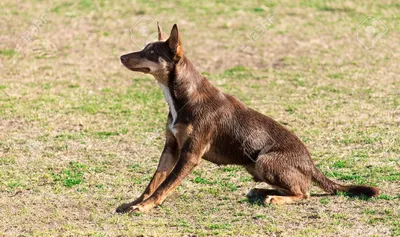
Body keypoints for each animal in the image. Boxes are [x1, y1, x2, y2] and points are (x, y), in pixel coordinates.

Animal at [116, 23, 382, 214]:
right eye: (144, 48)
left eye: (151, 52)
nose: (121, 57)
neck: (182, 95)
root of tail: (311, 164)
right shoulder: (170, 148)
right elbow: (153, 182)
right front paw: (135, 202)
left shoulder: (190, 154)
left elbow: (164, 185)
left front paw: (145, 206)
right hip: (256, 165)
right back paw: (260, 192)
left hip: (265, 160)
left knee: (304, 193)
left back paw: (273, 198)